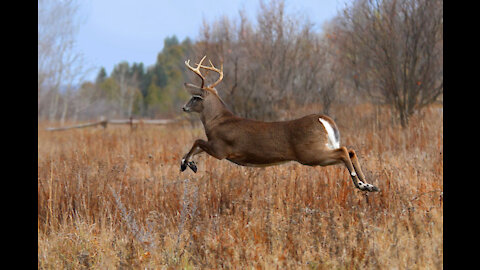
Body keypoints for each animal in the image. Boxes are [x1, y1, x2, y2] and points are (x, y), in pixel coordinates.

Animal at [180, 56, 378, 193]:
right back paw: (369, 185)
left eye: (195, 97)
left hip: (311, 153)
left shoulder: (221, 149)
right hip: (318, 151)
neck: (217, 121)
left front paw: (185, 164)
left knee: (344, 151)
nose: (184, 107)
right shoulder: (215, 147)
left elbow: (197, 141)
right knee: (350, 151)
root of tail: (323, 119)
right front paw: (190, 164)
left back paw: (361, 184)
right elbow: (196, 147)